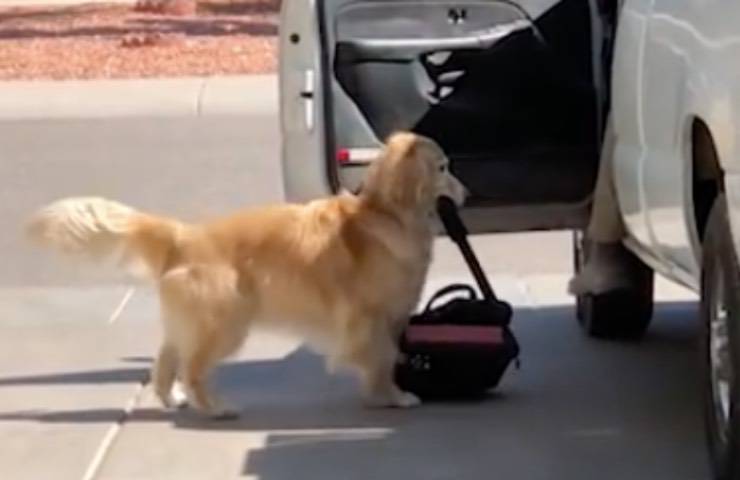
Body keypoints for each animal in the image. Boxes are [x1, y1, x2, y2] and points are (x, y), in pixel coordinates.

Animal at [26, 132, 467, 418]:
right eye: (443, 166)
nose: (465, 193)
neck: (386, 213)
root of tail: (183, 235)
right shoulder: (370, 318)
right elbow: (382, 358)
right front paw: (391, 396)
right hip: (225, 323)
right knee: (194, 370)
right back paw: (216, 408)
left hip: (193, 323)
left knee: (165, 362)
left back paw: (173, 401)